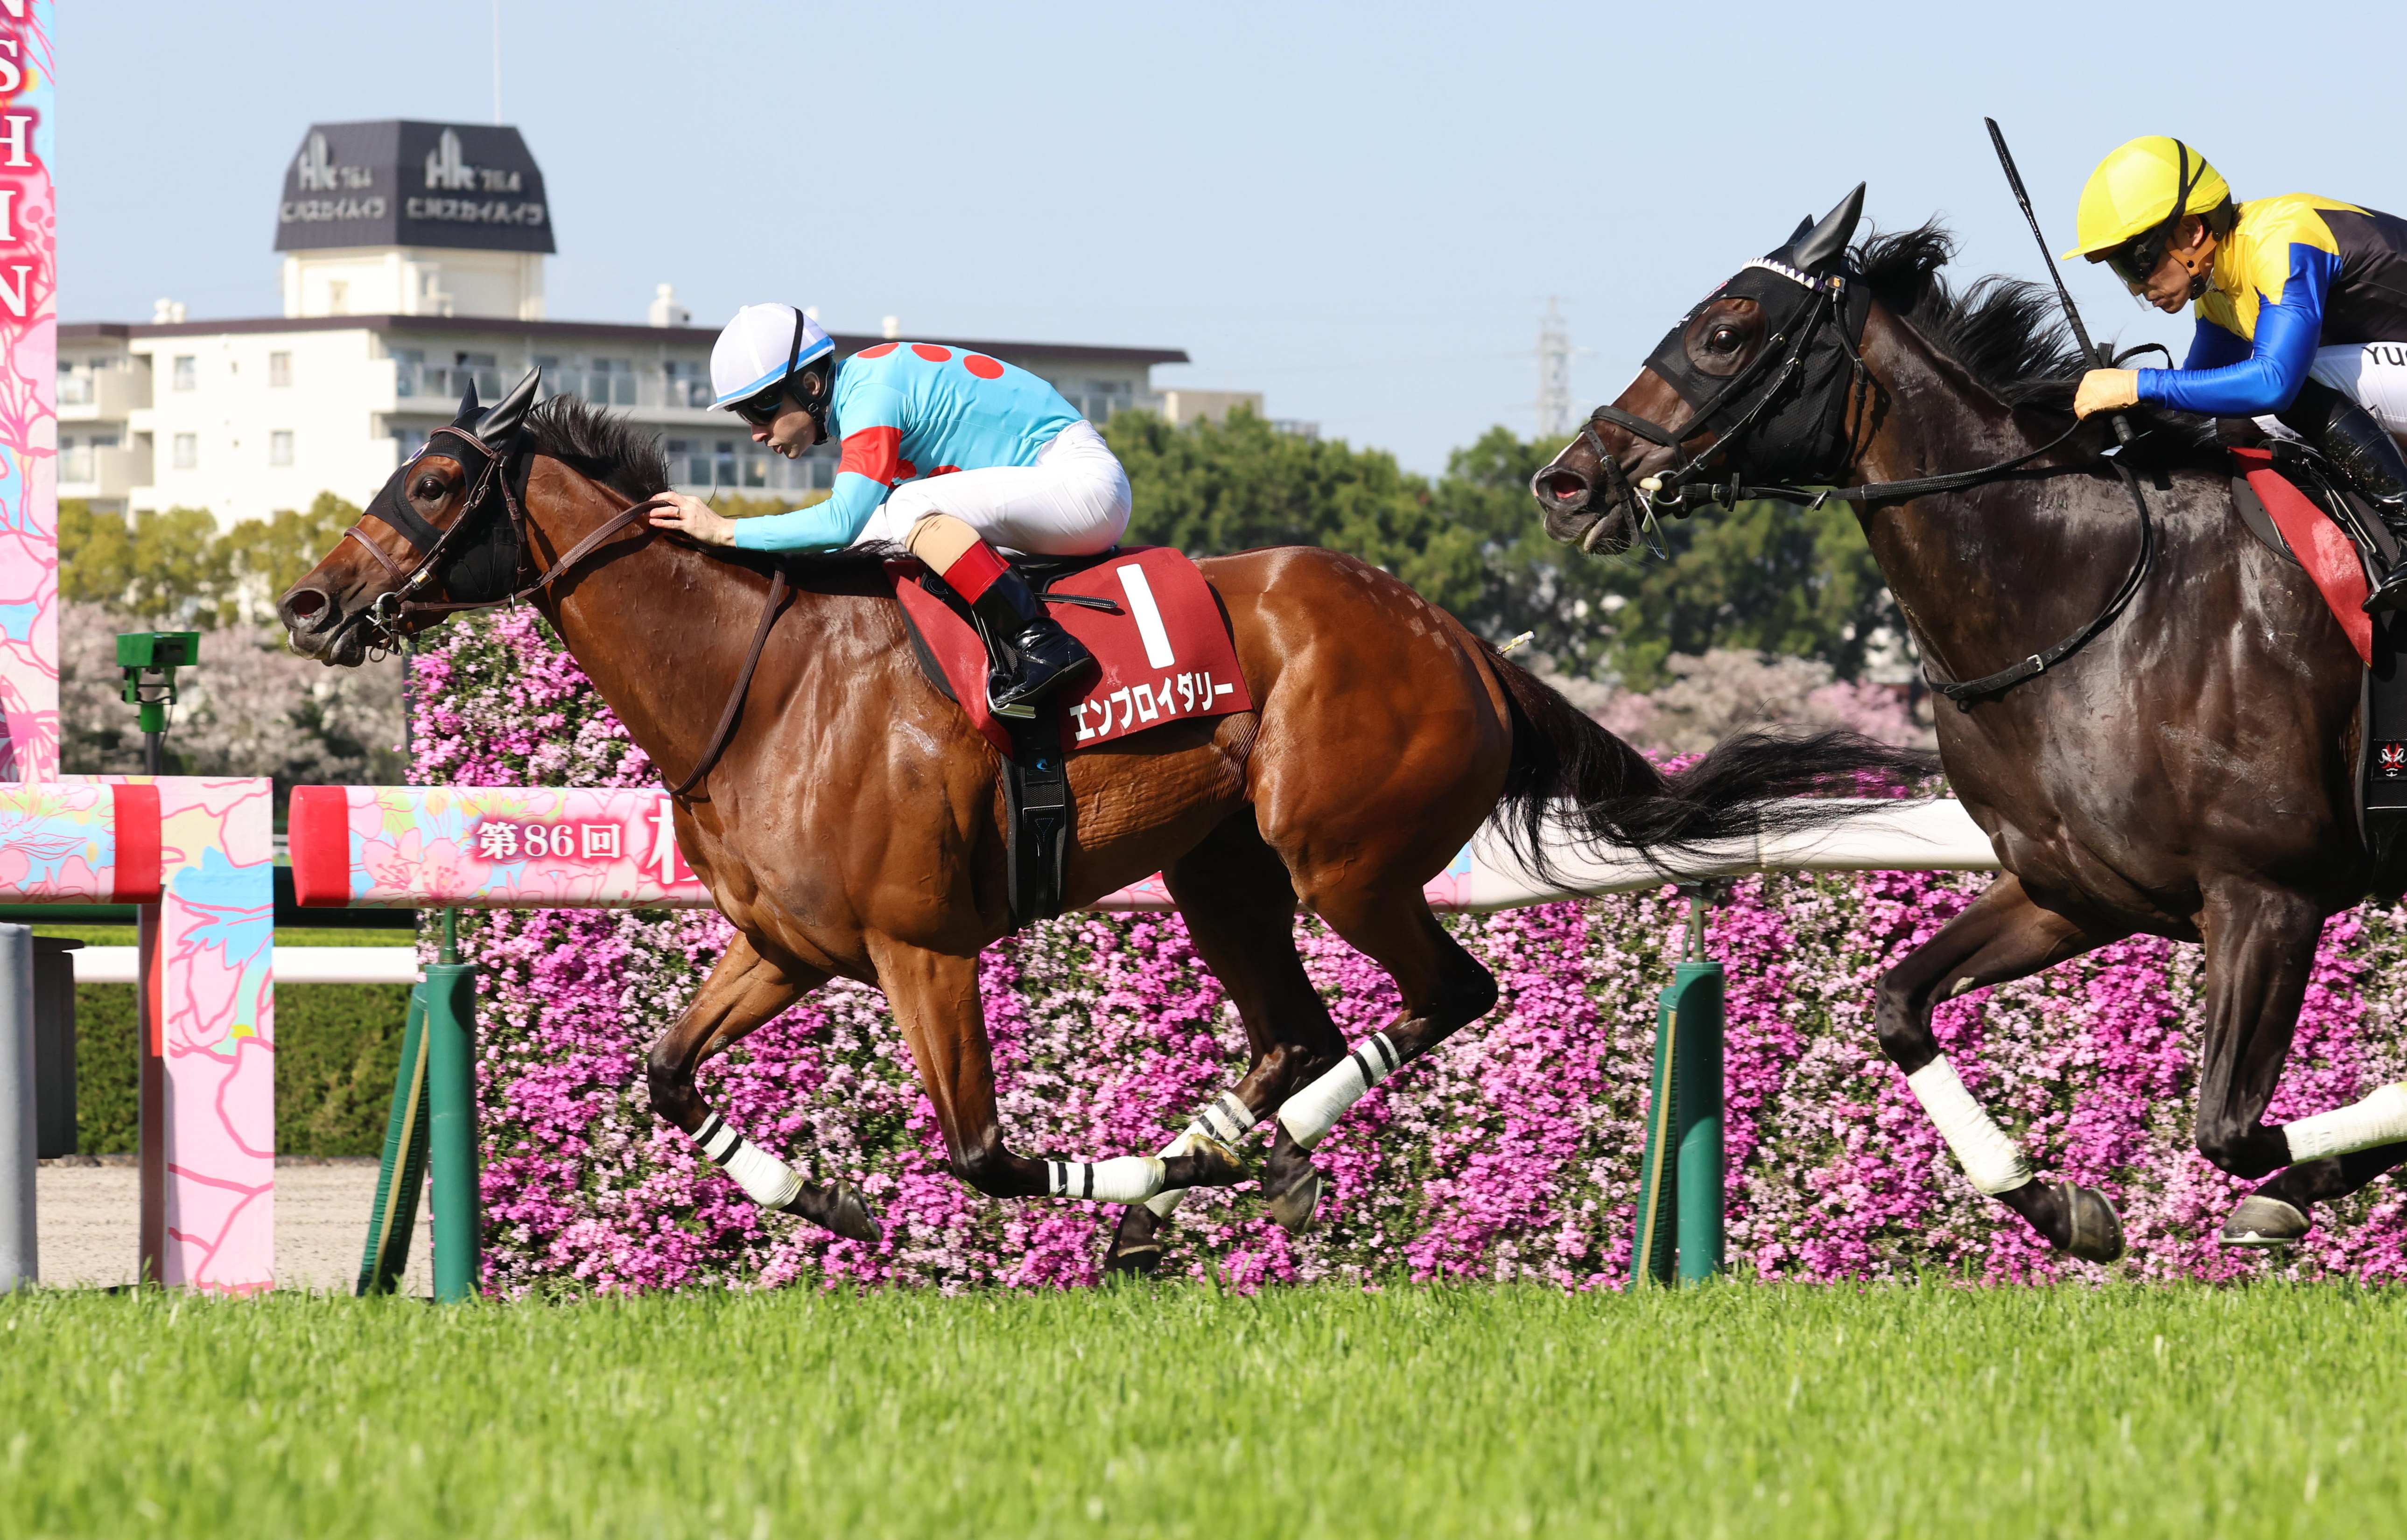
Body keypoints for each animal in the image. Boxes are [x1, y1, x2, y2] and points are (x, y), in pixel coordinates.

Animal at [276, 372, 1925, 1270]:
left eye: (435, 476)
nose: (307, 599)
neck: (765, 680)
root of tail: (1455, 632)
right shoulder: (788, 943)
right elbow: (665, 1073)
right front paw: (823, 1196)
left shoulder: (921, 947)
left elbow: (986, 1155)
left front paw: (1087, 1192)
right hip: (1224, 872)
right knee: (1294, 1031)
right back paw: (1216, 1155)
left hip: (1342, 855)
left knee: (1440, 994)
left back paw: (1228, 1165)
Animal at [1530, 186, 2407, 1261]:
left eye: (1726, 334)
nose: (1566, 485)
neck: (2098, 600)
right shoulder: (2070, 889)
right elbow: (1896, 1006)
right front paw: (2062, 1207)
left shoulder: (2268, 894)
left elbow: (2229, 1130)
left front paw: (2288, 1188)